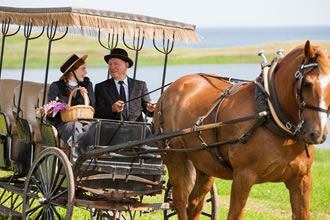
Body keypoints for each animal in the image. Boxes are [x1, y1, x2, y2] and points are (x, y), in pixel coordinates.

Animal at [154, 40, 330, 219]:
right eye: (307, 84)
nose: (318, 134)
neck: (271, 112)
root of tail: (171, 89)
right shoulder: (243, 177)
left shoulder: (302, 180)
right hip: (174, 158)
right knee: (180, 201)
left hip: (204, 164)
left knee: (194, 204)